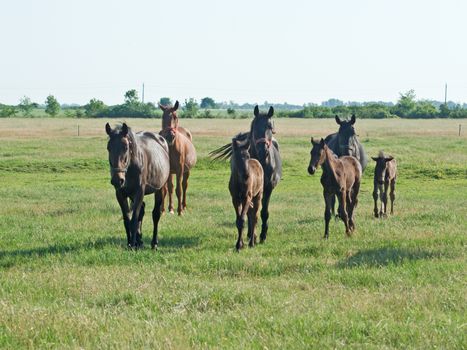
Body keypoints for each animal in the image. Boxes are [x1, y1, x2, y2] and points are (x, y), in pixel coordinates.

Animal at [211, 104, 284, 243]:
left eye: (270, 126)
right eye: (255, 126)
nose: (263, 150)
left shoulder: (268, 188)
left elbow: (264, 212)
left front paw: (263, 235)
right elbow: (251, 212)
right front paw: (253, 235)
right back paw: (250, 234)